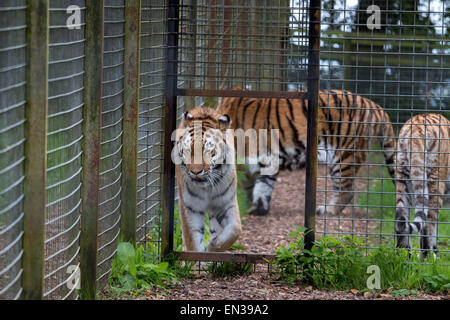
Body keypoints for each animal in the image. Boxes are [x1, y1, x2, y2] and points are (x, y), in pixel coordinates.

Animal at [173, 106, 241, 251]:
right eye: (188, 150)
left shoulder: (226, 202)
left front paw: (212, 246)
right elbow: (192, 242)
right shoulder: (190, 207)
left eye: (209, 150)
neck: (207, 187)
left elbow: (235, 229)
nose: (195, 171)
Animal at [216, 87, 396, 216]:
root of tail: (374, 106)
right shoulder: (266, 162)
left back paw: (328, 210)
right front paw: (259, 208)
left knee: (347, 190)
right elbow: (263, 186)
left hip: (344, 155)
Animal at [394, 114, 450, 256]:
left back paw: (403, 256)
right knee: (428, 226)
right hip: (435, 181)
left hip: (403, 178)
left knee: (401, 218)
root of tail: (416, 128)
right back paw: (429, 258)